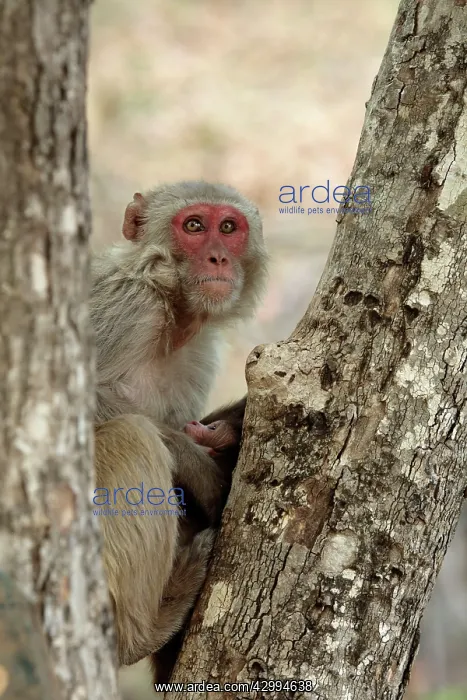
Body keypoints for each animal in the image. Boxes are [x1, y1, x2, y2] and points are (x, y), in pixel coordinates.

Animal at [90, 182, 267, 669]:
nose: (218, 258)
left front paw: (227, 434)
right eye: (194, 225)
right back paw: (142, 632)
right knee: (130, 436)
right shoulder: (124, 305)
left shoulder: (199, 351)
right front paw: (204, 467)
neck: (172, 310)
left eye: (229, 228)